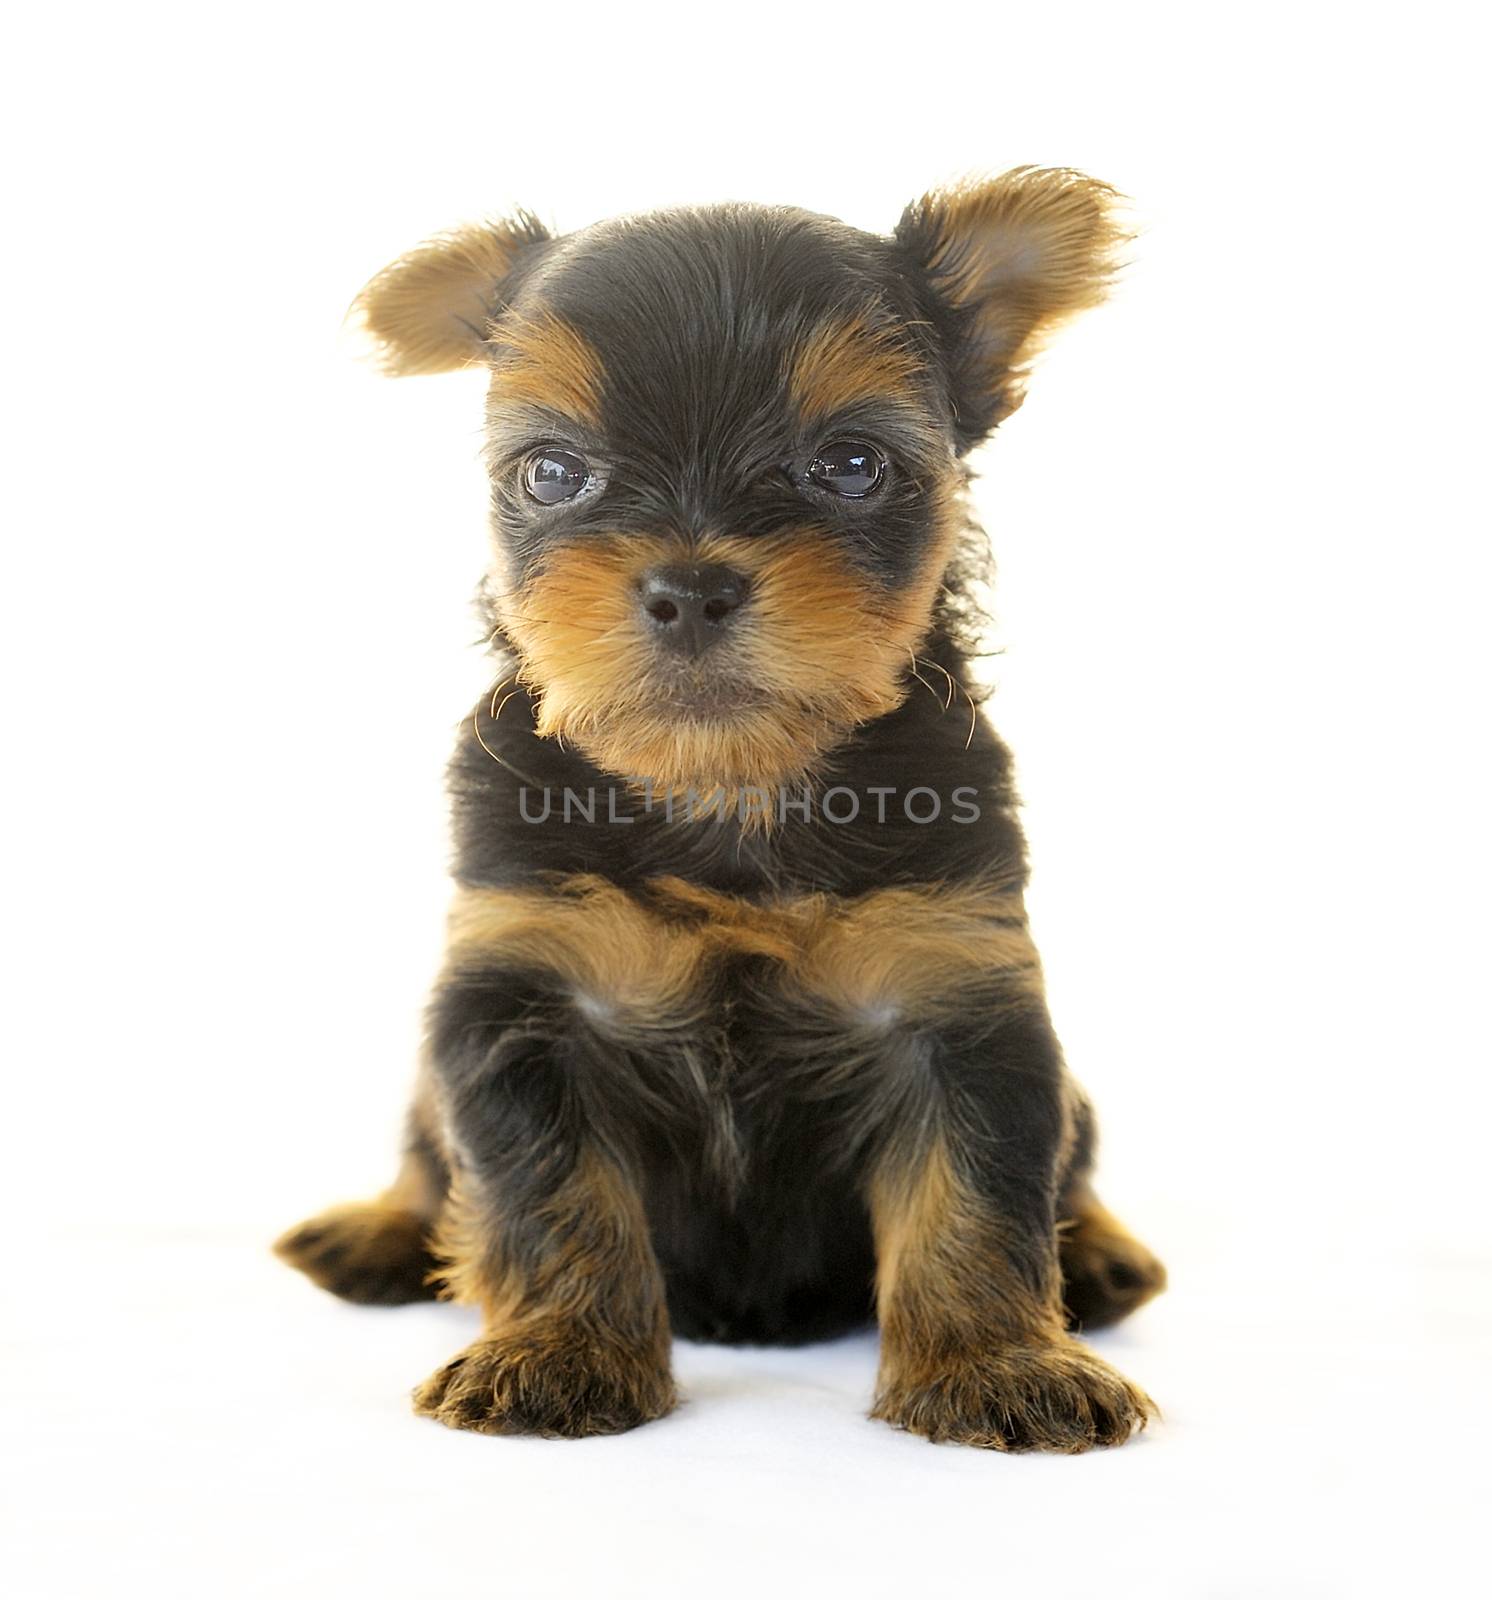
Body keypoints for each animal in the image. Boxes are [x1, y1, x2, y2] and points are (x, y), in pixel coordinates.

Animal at [276, 165, 1165, 1452]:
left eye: (850, 464)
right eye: (551, 473)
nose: (690, 585)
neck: (729, 790)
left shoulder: (956, 990)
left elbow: (976, 1195)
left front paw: (997, 1366)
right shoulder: (520, 996)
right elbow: (549, 1194)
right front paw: (557, 1354)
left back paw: (1095, 1258)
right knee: (423, 1151)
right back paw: (383, 1229)